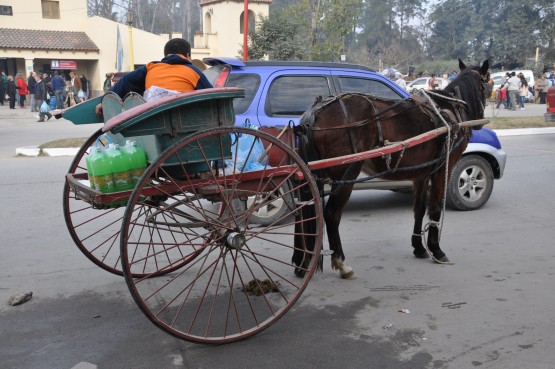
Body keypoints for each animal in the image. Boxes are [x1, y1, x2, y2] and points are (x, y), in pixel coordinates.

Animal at [294, 59, 488, 278]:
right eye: (485, 85)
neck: (449, 108)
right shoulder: (442, 169)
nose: (480, 120)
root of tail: (316, 113)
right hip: (346, 173)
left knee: (304, 210)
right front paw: (436, 249)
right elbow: (436, 207)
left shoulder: (422, 173)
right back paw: (341, 262)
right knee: (330, 214)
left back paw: (302, 262)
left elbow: (419, 208)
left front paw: (419, 247)